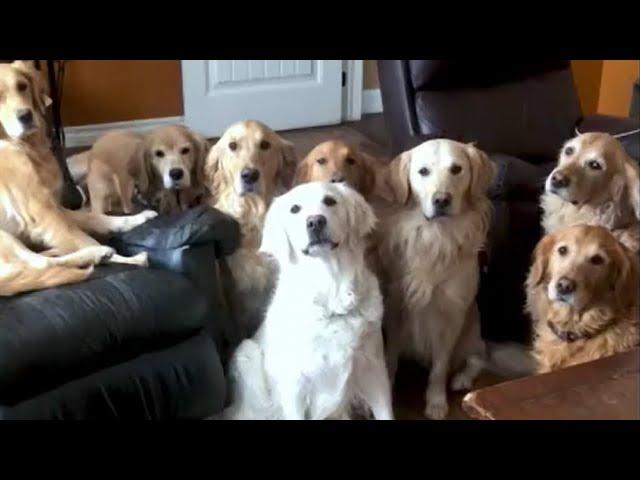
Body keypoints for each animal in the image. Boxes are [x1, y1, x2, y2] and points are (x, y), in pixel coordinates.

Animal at [225, 182, 396, 418]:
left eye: (330, 201)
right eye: (295, 209)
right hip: (246, 354)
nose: (315, 222)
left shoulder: (374, 369)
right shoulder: (294, 386)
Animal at [378, 139, 498, 420]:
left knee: (478, 357)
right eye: (423, 171)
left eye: (457, 169)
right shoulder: (396, 307)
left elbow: (440, 366)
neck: (436, 237)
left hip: (472, 327)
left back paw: (462, 379)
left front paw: (435, 402)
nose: (441, 200)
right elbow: (390, 357)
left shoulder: (452, 313)